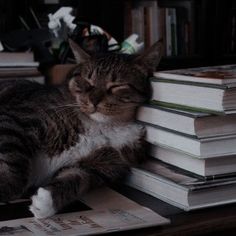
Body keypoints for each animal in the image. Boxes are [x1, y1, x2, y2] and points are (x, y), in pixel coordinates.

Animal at [0, 39, 162, 218]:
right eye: (87, 82)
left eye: (117, 85)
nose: (94, 101)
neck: (101, 126)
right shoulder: (18, 117)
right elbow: (14, 166)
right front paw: (6, 187)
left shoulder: (103, 166)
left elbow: (77, 178)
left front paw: (47, 202)